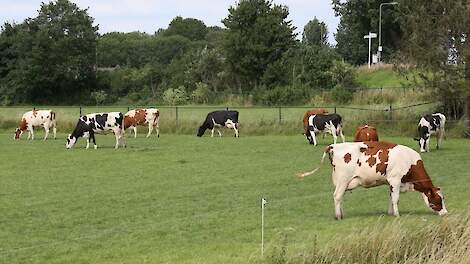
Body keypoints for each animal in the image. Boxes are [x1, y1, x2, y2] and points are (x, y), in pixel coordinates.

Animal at [298, 141, 448, 220]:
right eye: (438, 200)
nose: (446, 213)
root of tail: (334, 146)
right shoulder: (395, 180)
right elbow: (396, 199)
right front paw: (397, 215)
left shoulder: (392, 183)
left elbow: (390, 197)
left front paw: (390, 213)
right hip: (342, 180)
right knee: (337, 196)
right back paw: (338, 216)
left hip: (343, 182)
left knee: (340, 197)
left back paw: (342, 213)